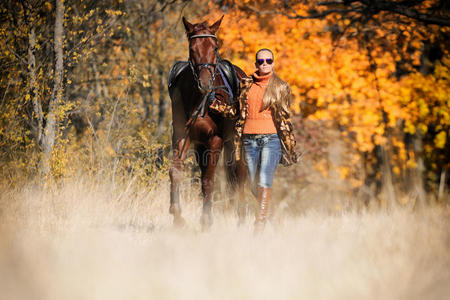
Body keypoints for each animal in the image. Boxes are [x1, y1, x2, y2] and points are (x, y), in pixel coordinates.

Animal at [168, 15, 248, 227]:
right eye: (192, 48)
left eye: (215, 47)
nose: (205, 84)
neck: (199, 99)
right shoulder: (182, 136)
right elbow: (176, 172)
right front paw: (177, 216)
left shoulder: (215, 140)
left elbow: (209, 180)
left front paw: (205, 221)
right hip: (201, 146)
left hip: (236, 144)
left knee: (240, 177)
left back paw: (241, 218)